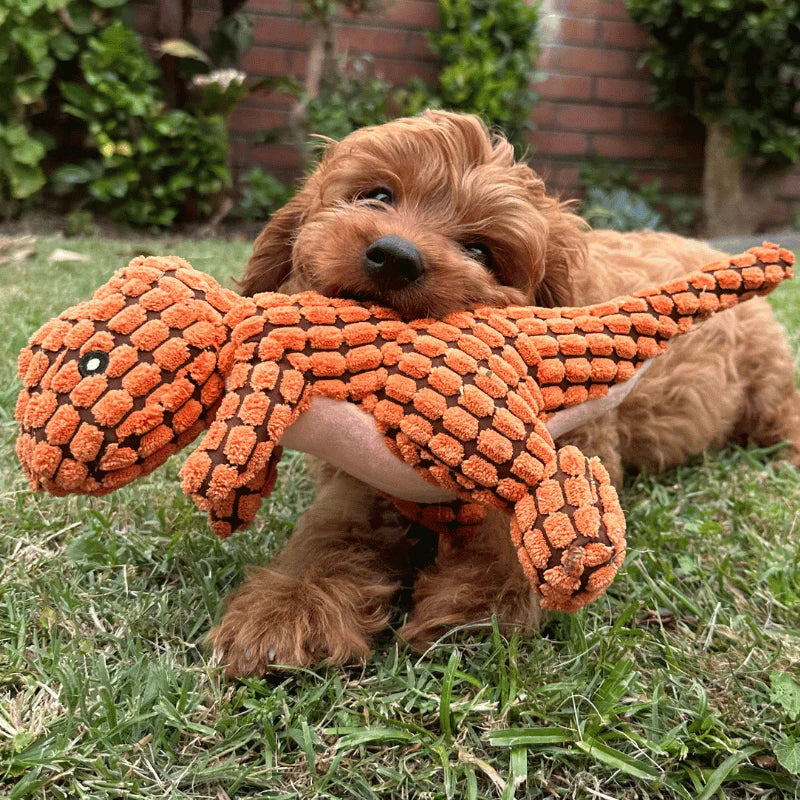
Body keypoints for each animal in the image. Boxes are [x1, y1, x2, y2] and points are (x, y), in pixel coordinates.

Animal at [208, 111, 800, 676]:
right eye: (376, 195)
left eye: (480, 250)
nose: (395, 255)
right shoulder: (358, 478)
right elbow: (330, 532)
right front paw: (288, 608)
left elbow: (520, 519)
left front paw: (477, 603)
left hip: (766, 377)